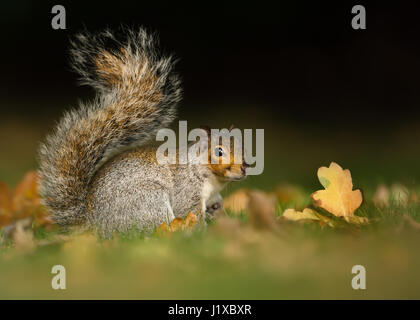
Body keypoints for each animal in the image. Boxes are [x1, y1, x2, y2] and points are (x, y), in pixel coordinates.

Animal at [37, 27, 248, 238]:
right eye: (219, 151)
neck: (207, 175)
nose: (244, 167)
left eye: (242, 147)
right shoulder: (187, 190)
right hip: (149, 200)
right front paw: (204, 232)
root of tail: (93, 224)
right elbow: (188, 212)